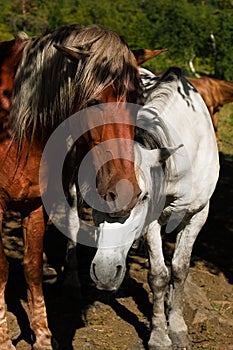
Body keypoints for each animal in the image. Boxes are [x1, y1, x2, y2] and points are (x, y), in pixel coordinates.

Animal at [0, 25, 162, 350]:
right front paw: (4, 340)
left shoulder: (33, 205)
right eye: (92, 102)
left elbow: (32, 267)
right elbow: (2, 271)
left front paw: (42, 337)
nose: (125, 192)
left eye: (138, 101)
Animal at [88, 67, 218, 348]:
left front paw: (178, 327)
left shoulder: (198, 215)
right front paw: (159, 335)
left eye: (143, 196)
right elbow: (158, 275)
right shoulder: (153, 222)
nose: (104, 273)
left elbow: (179, 270)